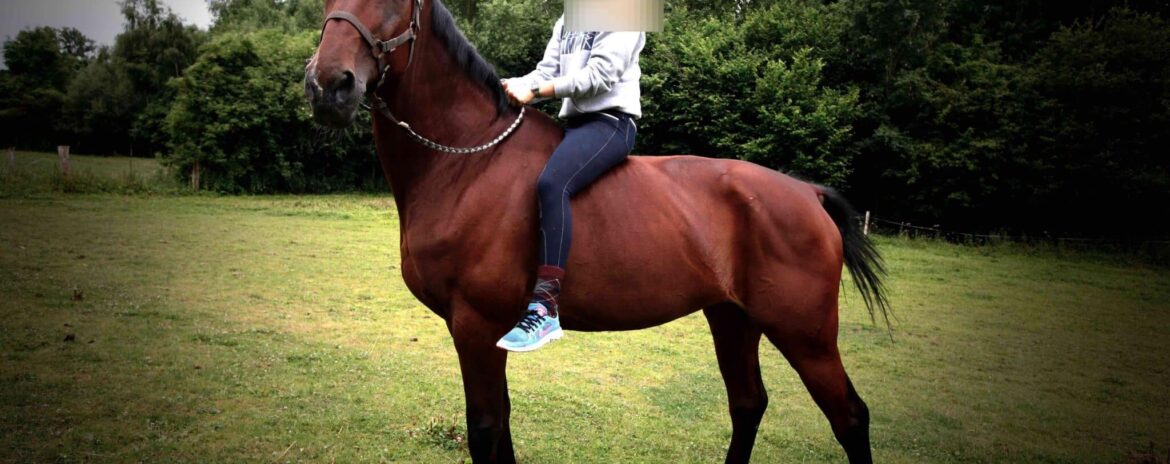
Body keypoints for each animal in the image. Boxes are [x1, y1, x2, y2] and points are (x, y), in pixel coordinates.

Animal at [305, 0, 889, 462]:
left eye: (394, 1)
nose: (327, 85)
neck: (468, 163)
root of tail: (807, 193)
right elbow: (504, 427)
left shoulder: (475, 326)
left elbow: (486, 431)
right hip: (733, 318)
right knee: (748, 404)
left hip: (806, 333)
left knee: (850, 416)